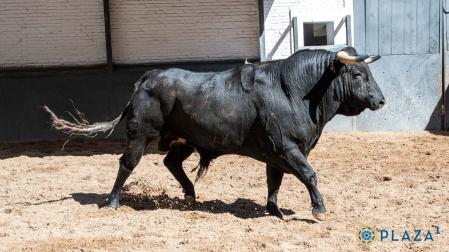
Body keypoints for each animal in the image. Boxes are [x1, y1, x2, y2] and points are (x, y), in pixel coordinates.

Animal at [43, 47, 384, 220]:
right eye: (357, 74)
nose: (381, 100)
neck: (294, 90)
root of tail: (148, 78)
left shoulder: (277, 152)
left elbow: (274, 180)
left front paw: (274, 210)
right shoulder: (287, 147)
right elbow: (308, 174)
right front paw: (319, 209)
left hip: (185, 140)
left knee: (171, 162)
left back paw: (191, 194)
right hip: (140, 134)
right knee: (127, 163)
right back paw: (113, 201)